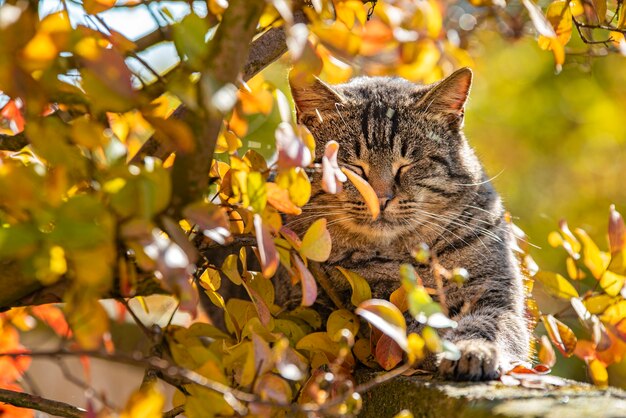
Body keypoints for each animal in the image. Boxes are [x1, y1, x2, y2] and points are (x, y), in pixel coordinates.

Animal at [286, 69, 528, 382]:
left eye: (407, 164)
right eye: (352, 166)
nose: (381, 198)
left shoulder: (495, 292)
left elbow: (487, 325)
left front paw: (472, 350)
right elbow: (418, 324)